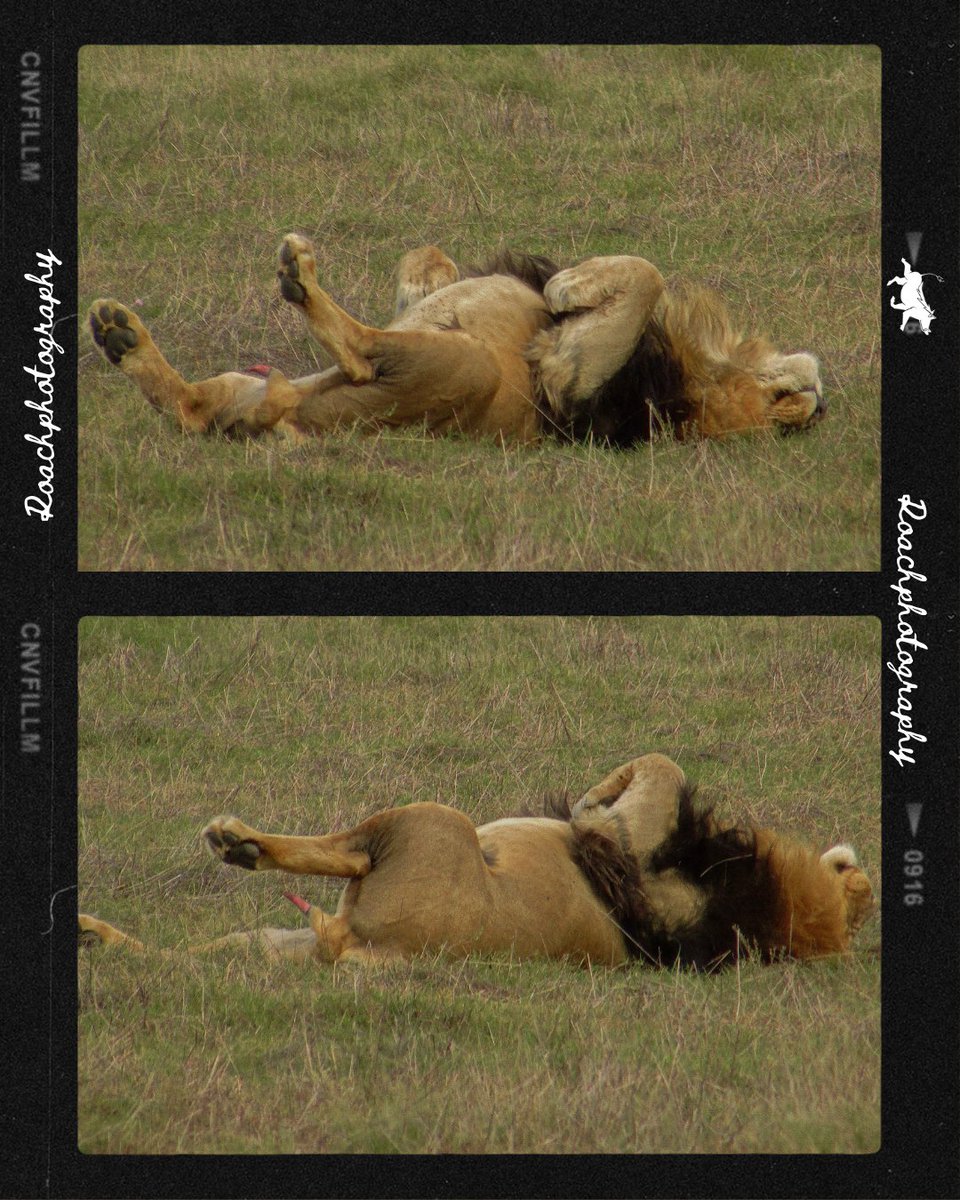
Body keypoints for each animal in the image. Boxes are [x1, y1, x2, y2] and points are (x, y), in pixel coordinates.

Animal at [78, 753, 873, 970]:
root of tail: (365, 947)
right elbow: (660, 768)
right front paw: (594, 798)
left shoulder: (655, 871)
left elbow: (661, 768)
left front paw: (593, 801)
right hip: (276, 943)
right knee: (183, 961)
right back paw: (97, 939)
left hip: (429, 820)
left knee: (338, 850)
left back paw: (238, 842)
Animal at [87, 235, 826, 446]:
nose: (818, 400)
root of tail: (283, 421)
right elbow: (427, 266)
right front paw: (429, 275)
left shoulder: (571, 382)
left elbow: (645, 274)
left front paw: (568, 285)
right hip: (241, 385)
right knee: (190, 406)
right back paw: (121, 335)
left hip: (466, 367)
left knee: (362, 353)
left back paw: (302, 277)